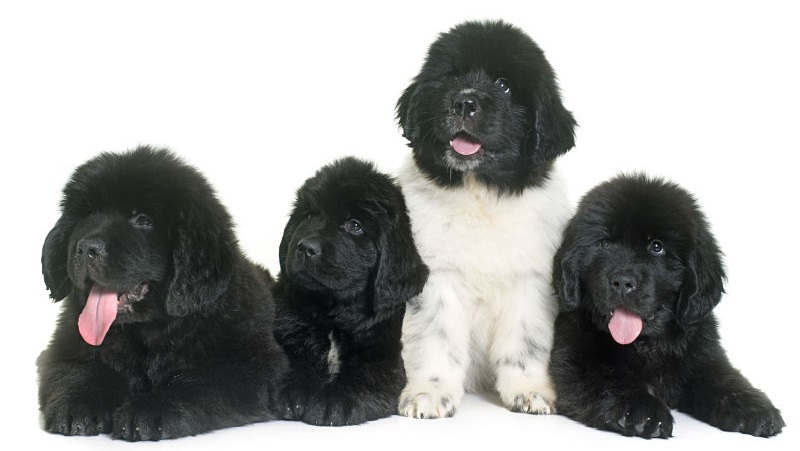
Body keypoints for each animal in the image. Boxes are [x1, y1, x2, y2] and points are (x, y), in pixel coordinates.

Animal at [38, 147, 288, 442]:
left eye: (143, 221)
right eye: (87, 215)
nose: (86, 247)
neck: (149, 331)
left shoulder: (252, 367)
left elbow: (198, 383)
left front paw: (149, 410)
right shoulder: (64, 348)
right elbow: (78, 370)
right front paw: (78, 404)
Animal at [272, 157, 428, 426]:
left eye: (355, 226)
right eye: (309, 215)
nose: (306, 247)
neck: (334, 314)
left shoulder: (384, 359)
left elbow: (364, 377)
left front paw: (333, 401)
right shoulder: (291, 328)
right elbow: (296, 358)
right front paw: (295, 390)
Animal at [394, 19, 576, 418]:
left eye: (505, 85)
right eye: (451, 77)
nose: (464, 101)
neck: (480, 194)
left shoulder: (530, 278)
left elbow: (526, 340)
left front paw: (529, 389)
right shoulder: (436, 277)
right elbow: (436, 337)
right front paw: (430, 392)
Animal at [552, 172, 784, 438]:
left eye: (657, 247)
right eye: (604, 243)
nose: (622, 282)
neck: (647, 345)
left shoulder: (704, 354)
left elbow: (724, 377)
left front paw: (753, 407)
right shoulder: (576, 361)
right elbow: (609, 377)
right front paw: (642, 411)